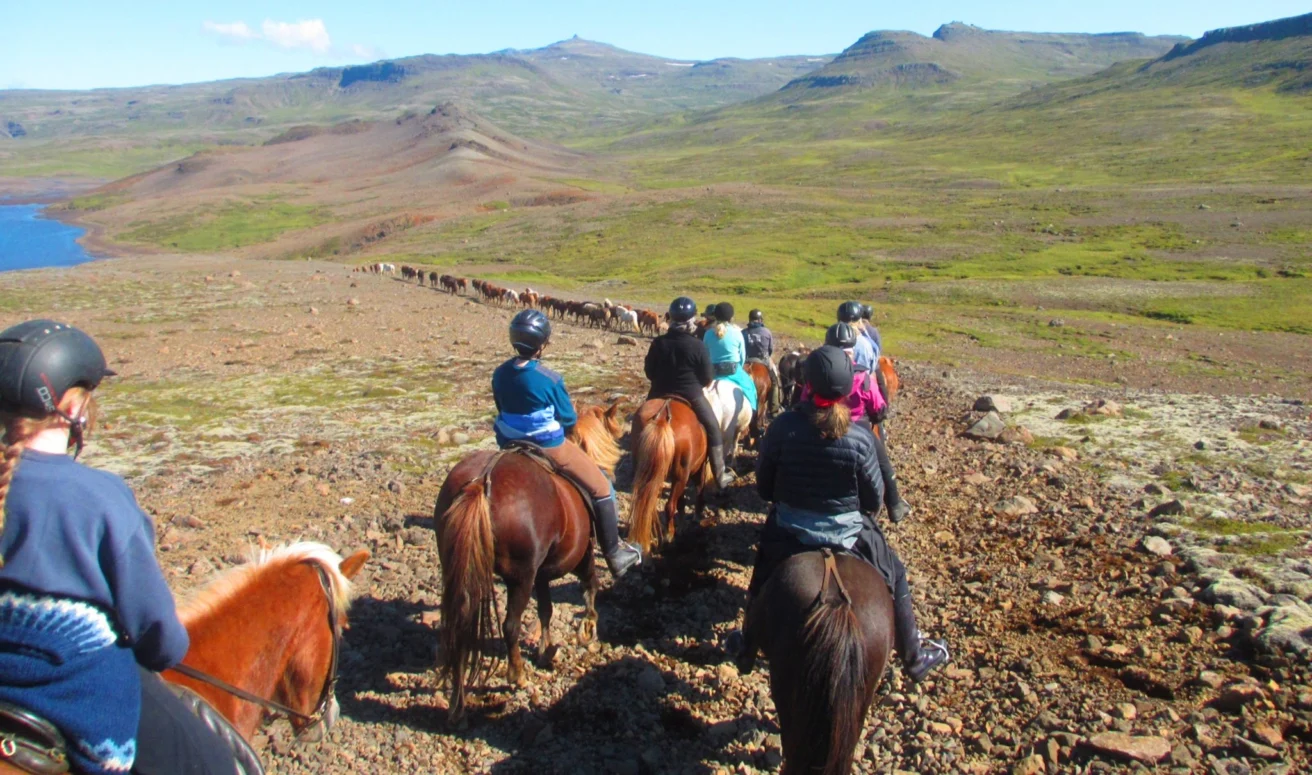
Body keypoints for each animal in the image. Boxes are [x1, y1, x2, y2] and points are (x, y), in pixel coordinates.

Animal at [430, 411, 614, 723]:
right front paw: (588, 630)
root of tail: (482, 481)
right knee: (510, 626)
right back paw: (517, 675)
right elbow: (590, 585)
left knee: (461, 626)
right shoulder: (581, 555)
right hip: (520, 577)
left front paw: (546, 649)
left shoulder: (540, 573)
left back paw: (457, 702)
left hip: (463, 573)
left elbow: (546, 609)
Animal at [629, 396, 713, 556]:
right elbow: (699, 490)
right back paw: (669, 536)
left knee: (649, 506)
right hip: (682, 475)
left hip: (647, 472)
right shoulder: (698, 470)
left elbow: (681, 501)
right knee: (669, 506)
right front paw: (696, 516)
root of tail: (662, 418)